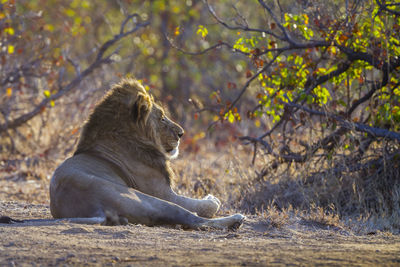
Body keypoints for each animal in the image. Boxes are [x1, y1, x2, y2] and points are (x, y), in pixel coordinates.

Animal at [48, 79, 245, 230]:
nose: (181, 133)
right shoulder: (163, 192)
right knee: (194, 219)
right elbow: (205, 206)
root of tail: (94, 209)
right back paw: (236, 220)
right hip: (145, 198)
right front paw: (212, 199)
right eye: (162, 117)